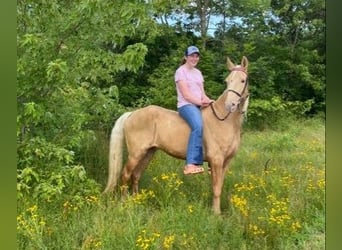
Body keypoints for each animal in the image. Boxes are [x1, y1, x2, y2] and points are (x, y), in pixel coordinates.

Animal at [103, 55, 250, 214]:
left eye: (242, 80)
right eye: (227, 81)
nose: (230, 105)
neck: (224, 120)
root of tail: (132, 114)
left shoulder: (226, 162)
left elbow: (219, 186)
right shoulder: (216, 160)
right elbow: (216, 188)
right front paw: (216, 214)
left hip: (148, 152)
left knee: (136, 175)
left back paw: (136, 201)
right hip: (136, 153)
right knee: (125, 174)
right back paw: (124, 203)